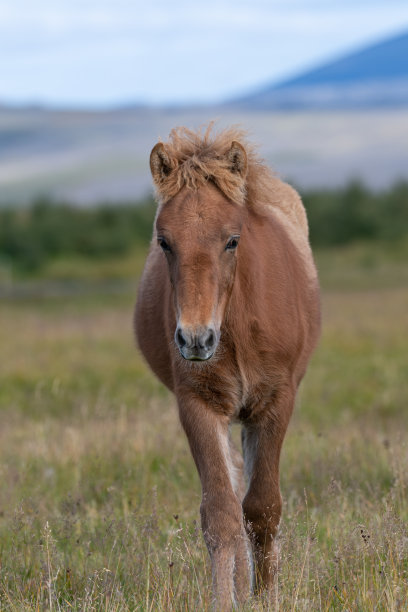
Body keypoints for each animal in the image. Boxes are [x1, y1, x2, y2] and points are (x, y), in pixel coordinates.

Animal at [135, 124, 320, 608]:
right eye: (164, 241)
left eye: (232, 239)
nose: (195, 339)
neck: (236, 328)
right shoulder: (198, 405)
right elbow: (221, 514)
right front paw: (226, 599)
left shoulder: (274, 403)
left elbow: (263, 509)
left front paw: (268, 598)